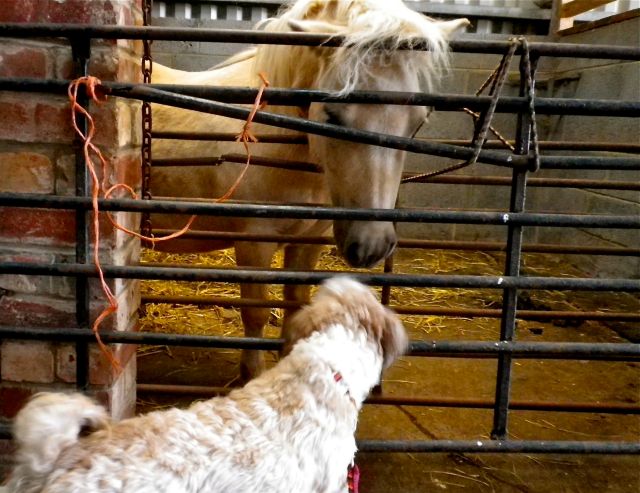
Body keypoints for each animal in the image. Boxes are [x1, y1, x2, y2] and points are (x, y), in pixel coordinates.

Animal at [150, 0, 469, 380]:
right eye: (332, 114)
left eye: (418, 123)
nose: (372, 245)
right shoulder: (253, 242)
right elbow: (255, 313)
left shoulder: (309, 240)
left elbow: (296, 306)